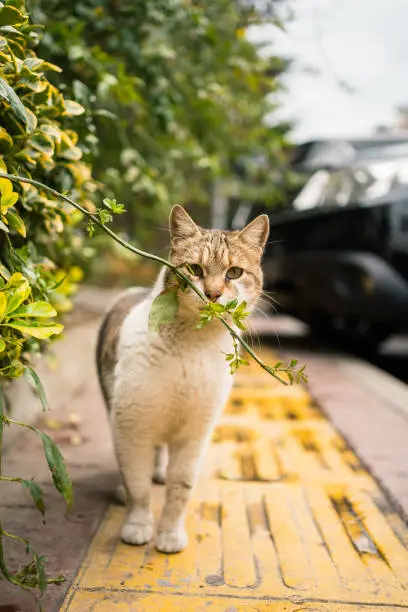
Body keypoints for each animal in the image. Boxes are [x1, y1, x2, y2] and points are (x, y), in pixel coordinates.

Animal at [95, 206, 268, 556]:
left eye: (234, 273)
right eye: (195, 269)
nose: (213, 293)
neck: (192, 345)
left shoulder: (195, 432)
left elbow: (181, 488)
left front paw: (170, 533)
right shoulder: (131, 425)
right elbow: (137, 483)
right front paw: (138, 525)